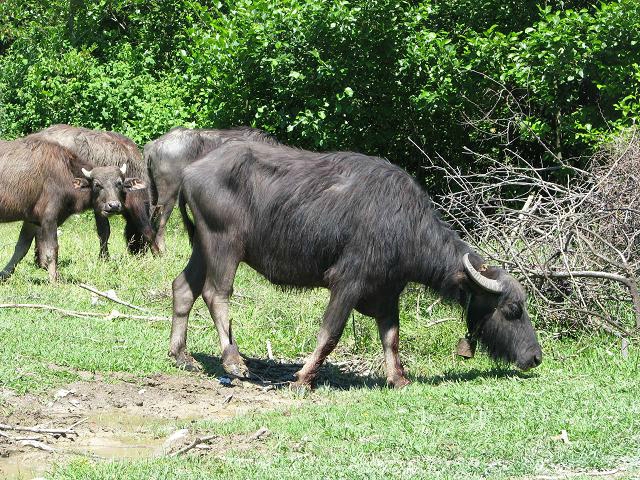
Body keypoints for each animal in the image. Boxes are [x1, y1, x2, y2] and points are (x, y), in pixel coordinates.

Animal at [0, 138, 146, 282]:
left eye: (119, 183)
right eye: (97, 184)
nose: (114, 205)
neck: (65, 173)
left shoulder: (31, 220)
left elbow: (21, 248)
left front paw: (4, 274)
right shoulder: (49, 218)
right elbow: (51, 250)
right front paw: (54, 279)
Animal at [171, 141, 544, 388]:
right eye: (512, 310)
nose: (535, 356)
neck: (405, 226)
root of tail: (189, 171)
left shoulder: (388, 294)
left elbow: (391, 337)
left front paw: (399, 378)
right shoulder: (347, 282)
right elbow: (330, 333)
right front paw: (303, 377)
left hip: (202, 246)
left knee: (183, 288)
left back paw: (181, 356)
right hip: (224, 243)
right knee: (216, 293)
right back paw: (234, 362)